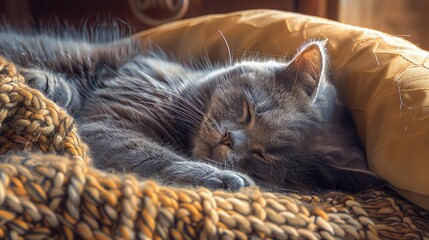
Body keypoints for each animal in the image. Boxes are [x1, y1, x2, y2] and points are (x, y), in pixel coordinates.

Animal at [0, 27, 382, 193]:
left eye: (266, 156)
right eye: (249, 110)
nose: (230, 140)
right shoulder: (109, 120)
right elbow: (152, 155)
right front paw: (223, 179)